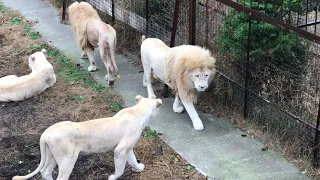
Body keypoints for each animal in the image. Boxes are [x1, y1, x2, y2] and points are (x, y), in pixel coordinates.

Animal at [12, 95, 162, 179]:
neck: (138, 111)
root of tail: (45, 134)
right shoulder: (120, 150)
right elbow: (119, 170)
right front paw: (112, 177)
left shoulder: (127, 147)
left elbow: (132, 160)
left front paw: (138, 168)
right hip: (67, 159)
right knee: (59, 176)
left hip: (51, 155)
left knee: (45, 172)